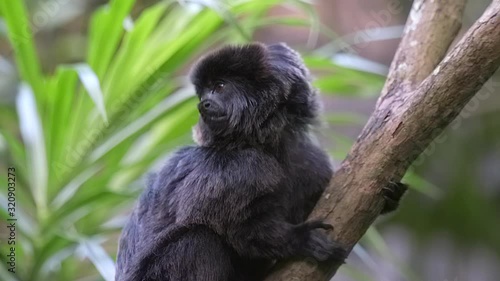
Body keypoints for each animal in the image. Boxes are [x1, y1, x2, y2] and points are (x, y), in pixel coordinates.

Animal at [114, 42, 406, 280]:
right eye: (203, 93)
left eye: (219, 87)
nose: (203, 104)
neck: (267, 146)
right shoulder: (242, 167)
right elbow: (231, 227)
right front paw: (299, 240)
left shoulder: (310, 161)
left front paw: (390, 198)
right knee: (197, 240)